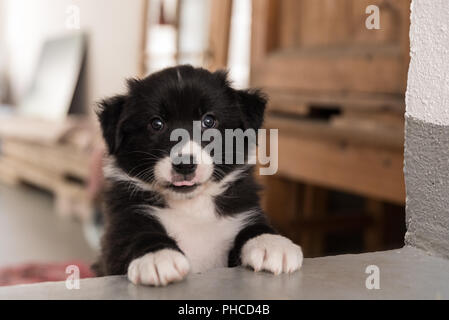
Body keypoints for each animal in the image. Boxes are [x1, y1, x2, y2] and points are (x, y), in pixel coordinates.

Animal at [95, 64, 304, 284]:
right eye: (156, 123)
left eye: (209, 121)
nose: (185, 165)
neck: (192, 207)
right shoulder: (122, 226)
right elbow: (138, 235)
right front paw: (157, 256)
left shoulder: (244, 211)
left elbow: (254, 226)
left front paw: (271, 243)